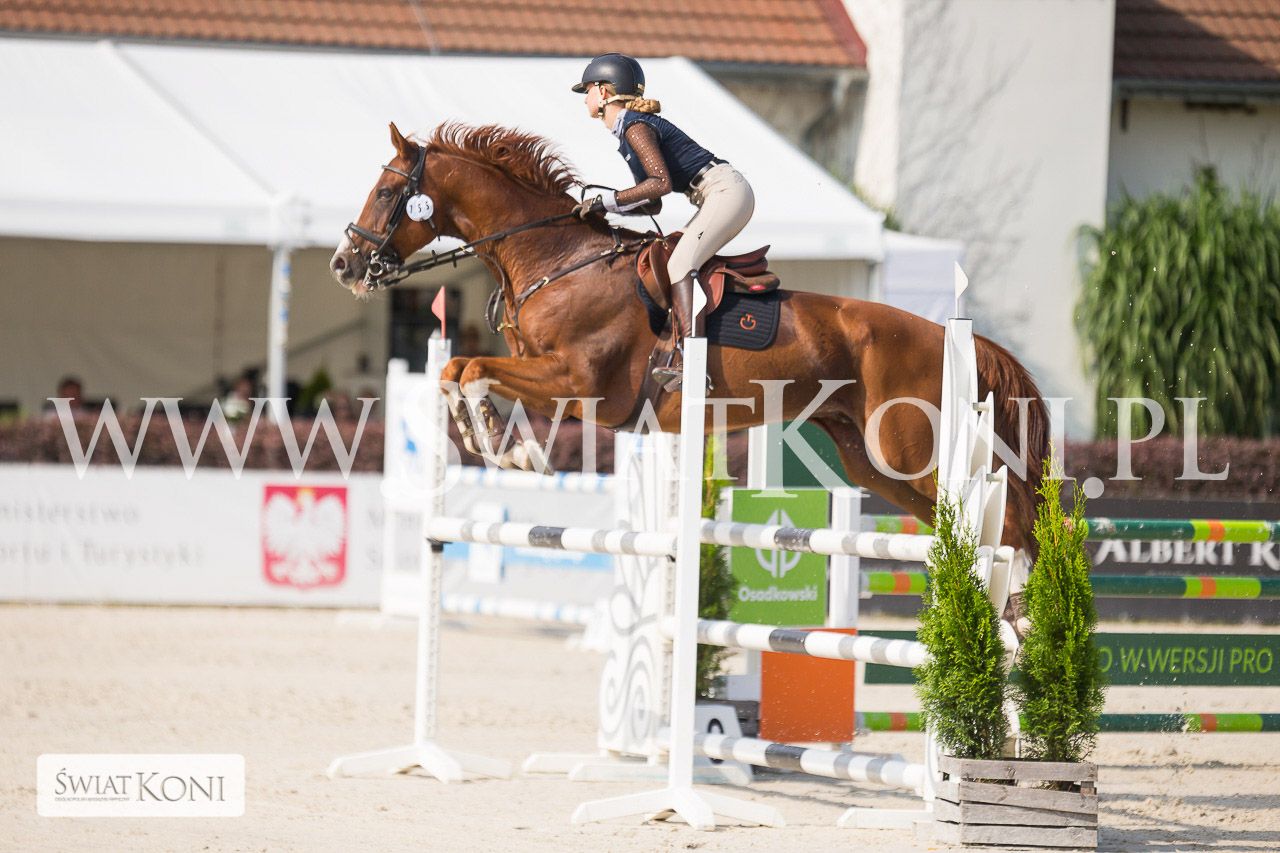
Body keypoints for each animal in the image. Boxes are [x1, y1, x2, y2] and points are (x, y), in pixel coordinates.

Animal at [330, 122, 1050, 570]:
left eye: (388, 191)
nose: (344, 264)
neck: (558, 260)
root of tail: (955, 338)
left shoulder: (580, 384)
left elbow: (474, 366)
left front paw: (515, 451)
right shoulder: (547, 374)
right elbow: (454, 367)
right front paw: (499, 447)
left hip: (910, 450)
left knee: (1013, 519)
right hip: (873, 462)